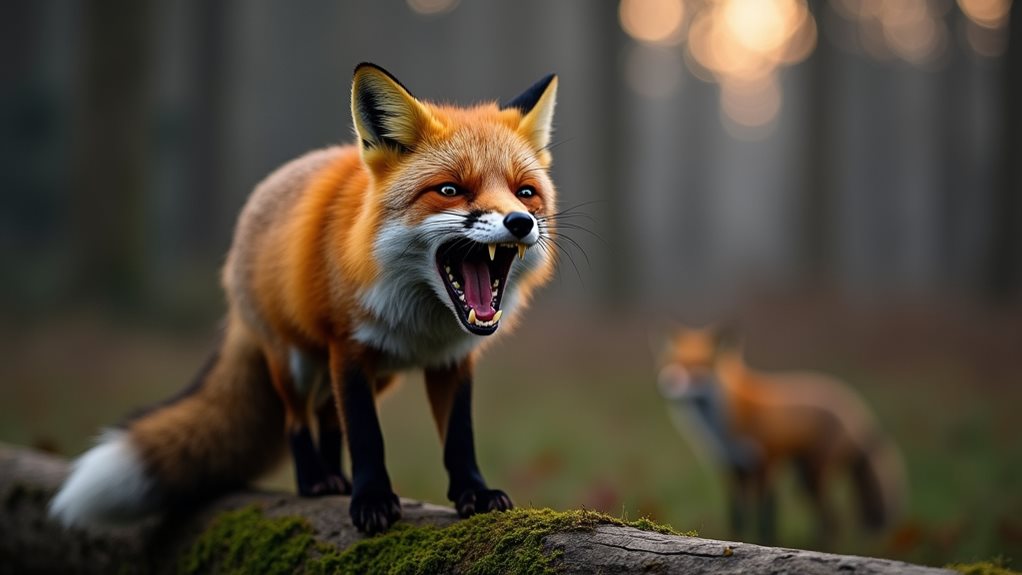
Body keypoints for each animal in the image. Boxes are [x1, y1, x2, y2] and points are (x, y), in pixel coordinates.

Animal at [49, 63, 560, 534]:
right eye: (451, 189)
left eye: (525, 192)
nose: (519, 222)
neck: (421, 325)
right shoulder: (349, 346)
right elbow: (367, 436)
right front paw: (372, 501)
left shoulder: (452, 360)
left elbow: (458, 436)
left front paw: (473, 493)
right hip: (294, 363)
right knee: (298, 420)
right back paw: (315, 482)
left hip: (375, 376)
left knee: (326, 417)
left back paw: (335, 479)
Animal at [657, 326, 907, 546]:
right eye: (674, 362)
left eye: (700, 367)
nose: (668, 383)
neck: (727, 423)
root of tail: (855, 407)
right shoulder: (730, 466)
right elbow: (738, 517)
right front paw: (736, 540)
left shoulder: (767, 462)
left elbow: (765, 518)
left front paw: (765, 544)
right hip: (803, 477)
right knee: (827, 520)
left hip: (813, 475)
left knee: (832, 520)